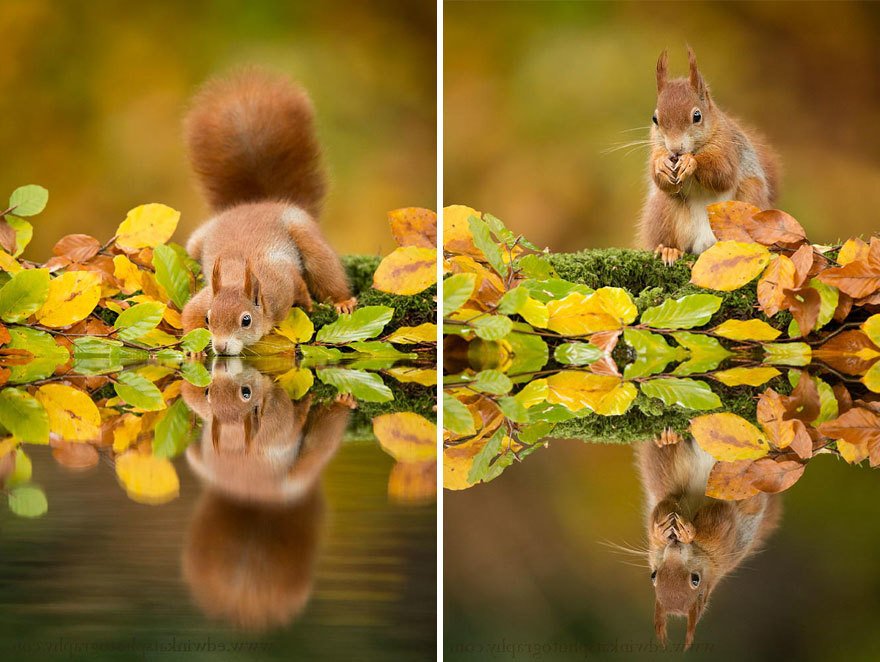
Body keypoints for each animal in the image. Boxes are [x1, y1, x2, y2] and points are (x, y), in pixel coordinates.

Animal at [180, 69, 356, 356]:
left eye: (246, 320)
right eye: (208, 318)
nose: (220, 347)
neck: (238, 276)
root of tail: (261, 202)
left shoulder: (283, 283)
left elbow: (300, 286)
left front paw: (308, 305)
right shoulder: (205, 299)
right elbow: (188, 313)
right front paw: (193, 348)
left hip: (305, 235)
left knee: (325, 269)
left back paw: (342, 301)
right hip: (196, 242)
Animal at [636, 430, 780, 652]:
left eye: (695, 580)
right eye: (653, 576)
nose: (674, 546)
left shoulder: (723, 542)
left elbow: (717, 517)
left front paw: (689, 532)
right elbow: (663, 506)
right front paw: (660, 531)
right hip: (668, 469)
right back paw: (667, 440)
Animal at [640, 48, 776, 264]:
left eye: (697, 116)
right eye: (655, 119)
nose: (675, 149)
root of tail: (705, 245)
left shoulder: (727, 147)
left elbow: (723, 174)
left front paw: (691, 162)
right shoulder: (657, 149)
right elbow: (662, 180)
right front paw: (661, 165)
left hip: (751, 195)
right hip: (663, 211)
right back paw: (669, 250)